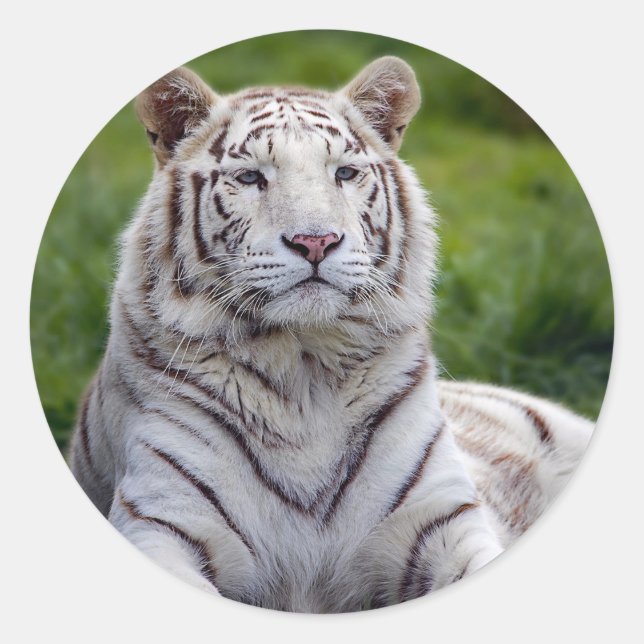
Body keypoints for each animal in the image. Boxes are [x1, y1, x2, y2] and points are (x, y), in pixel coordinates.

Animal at [69, 56, 593, 612]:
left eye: (344, 172)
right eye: (250, 177)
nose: (315, 241)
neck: (304, 370)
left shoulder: (440, 519)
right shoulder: (164, 521)